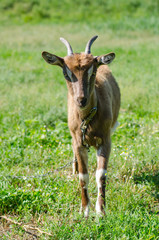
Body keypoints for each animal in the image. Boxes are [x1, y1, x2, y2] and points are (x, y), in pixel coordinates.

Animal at [41, 35, 120, 218]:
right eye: (66, 73)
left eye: (93, 71)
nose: (81, 100)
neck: (87, 121)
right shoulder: (78, 141)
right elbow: (84, 176)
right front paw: (84, 210)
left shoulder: (105, 139)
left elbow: (101, 175)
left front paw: (101, 211)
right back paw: (74, 167)